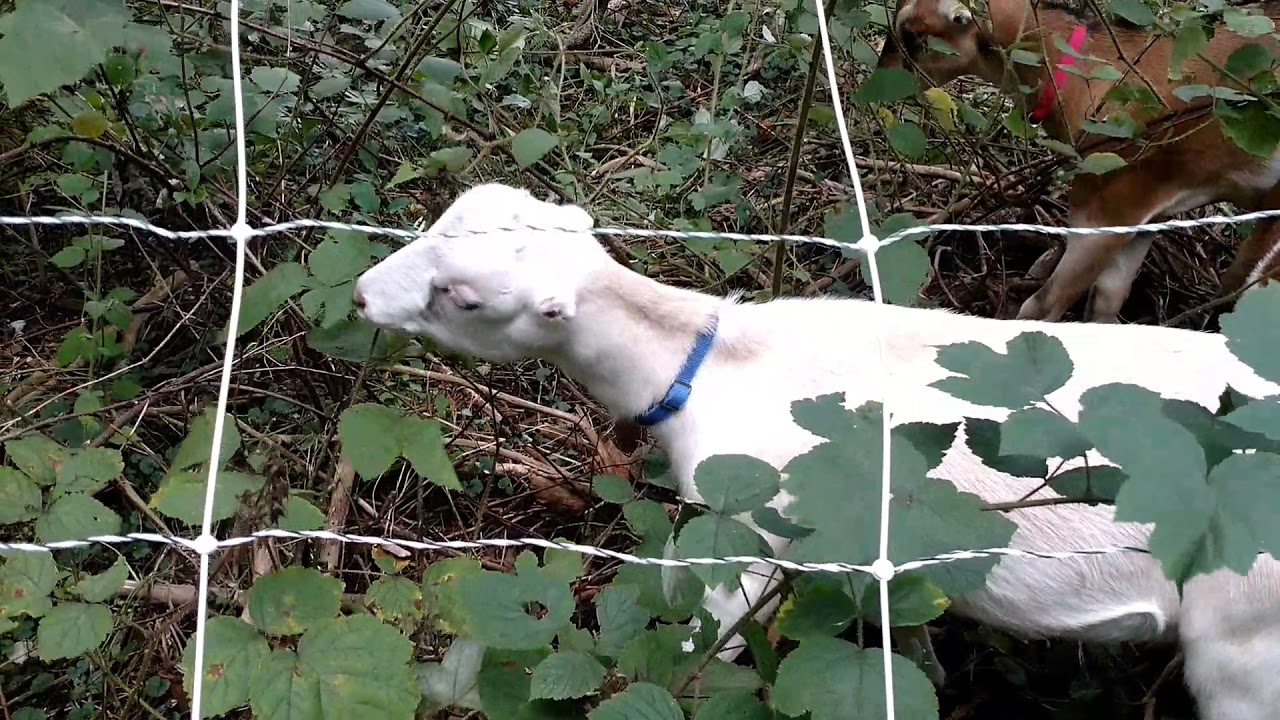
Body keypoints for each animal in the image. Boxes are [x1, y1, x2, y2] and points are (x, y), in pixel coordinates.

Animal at [353, 183, 1280, 720]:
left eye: (461, 296)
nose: (362, 293)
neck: (710, 363)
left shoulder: (749, 541)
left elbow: (699, 653)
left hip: (1246, 641)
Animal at [877, 0, 1280, 323]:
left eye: (912, 34)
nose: (881, 80)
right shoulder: (1147, 211)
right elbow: (1107, 300)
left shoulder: (1110, 203)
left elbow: (1044, 305)